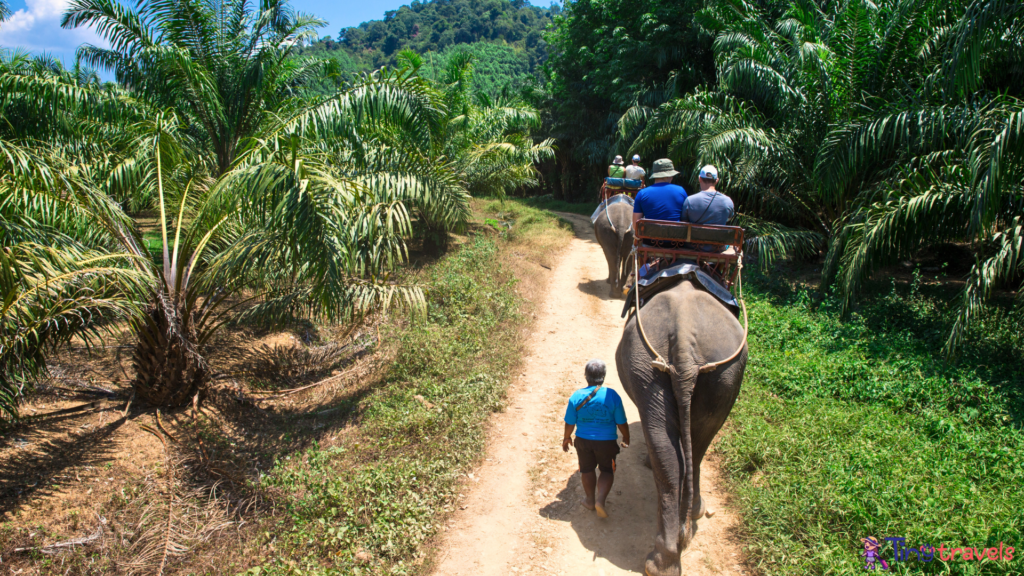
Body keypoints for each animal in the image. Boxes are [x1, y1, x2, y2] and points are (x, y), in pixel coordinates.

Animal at [610, 280, 749, 573]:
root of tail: (684, 336)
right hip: (714, 375)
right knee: (697, 441)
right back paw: (674, 547)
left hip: (658, 367)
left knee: (672, 447)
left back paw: (663, 559)